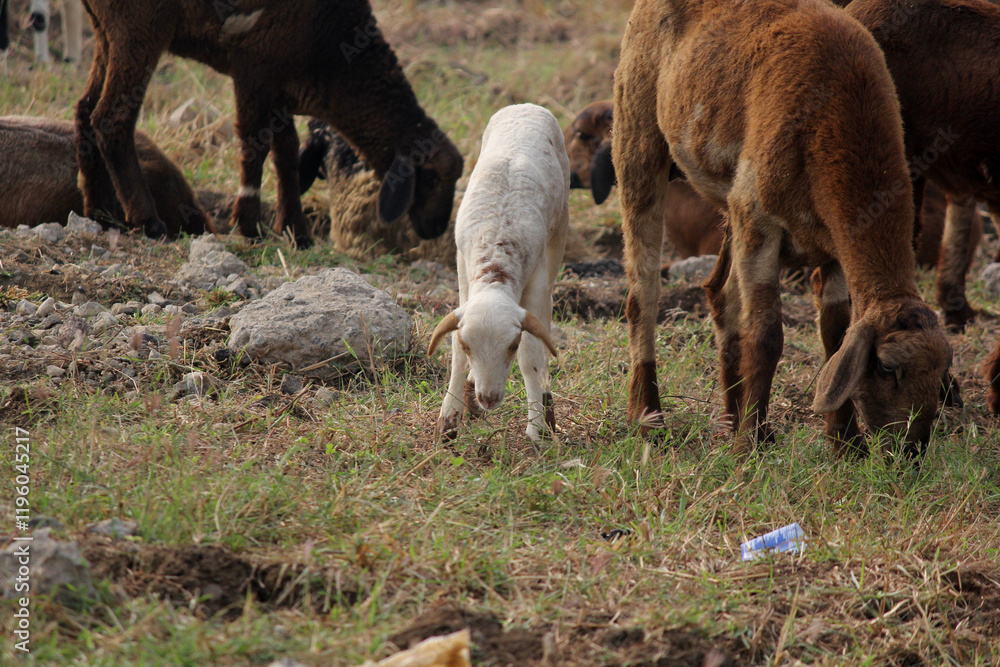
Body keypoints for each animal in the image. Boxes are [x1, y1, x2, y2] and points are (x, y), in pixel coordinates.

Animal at [75, 0, 463, 249]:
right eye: (430, 177)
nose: (436, 228)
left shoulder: (281, 84)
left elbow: (286, 151)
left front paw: (297, 231)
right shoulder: (254, 70)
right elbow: (255, 146)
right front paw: (249, 225)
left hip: (104, 30)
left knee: (85, 111)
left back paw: (100, 212)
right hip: (139, 26)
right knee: (111, 119)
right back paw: (148, 221)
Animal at [427, 104, 569, 442]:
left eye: (511, 346)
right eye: (468, 345)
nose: (488, 398)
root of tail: (527, 105)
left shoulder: (536, 279)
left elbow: (532, 355)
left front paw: (536, 429)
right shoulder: (462, 268)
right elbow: (455, 353)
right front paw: (449, 420)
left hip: (559, 233)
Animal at [614, 0, 952, 455]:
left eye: (940, 374)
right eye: (886, 368)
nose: (911, 452)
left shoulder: (835, 240)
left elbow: (835, 333)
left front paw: (845, 445)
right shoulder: (758, 218)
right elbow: (766, 335)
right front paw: (749, 447)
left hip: (728, 199)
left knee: (721, 295)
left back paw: (730, 419)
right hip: (637, 134)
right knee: (643, 293)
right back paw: (650, 418)